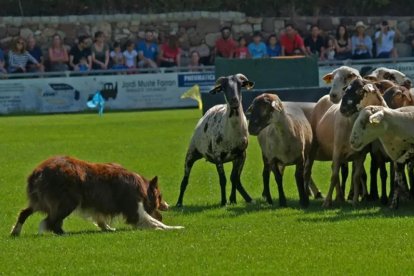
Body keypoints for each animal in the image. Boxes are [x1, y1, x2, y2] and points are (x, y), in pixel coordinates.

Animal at [175, 73, 254, 207]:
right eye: (224, 87)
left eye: (240, 85)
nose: (234, 101)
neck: (232, 130)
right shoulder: (218, 156)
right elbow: (223, 180)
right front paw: (223, 202)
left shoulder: (241, 154)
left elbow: (234, 178)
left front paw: (233, 200)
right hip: (191, 153)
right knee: (185, 180)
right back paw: (179, 203)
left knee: (235, 178)